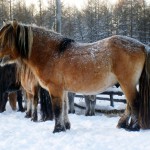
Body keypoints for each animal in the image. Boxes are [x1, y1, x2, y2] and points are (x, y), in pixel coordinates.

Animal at [0, 19, 150, 132]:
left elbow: (58, 109)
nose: (0, 59)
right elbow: (65, 107)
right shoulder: (63, 90)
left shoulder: (55, 89)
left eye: (5, 40)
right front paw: (66, 126)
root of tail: (142, 46)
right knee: (129, 104)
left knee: (134, 102)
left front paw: (57, 129)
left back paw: (133, 127)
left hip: (127, 83)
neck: (52, 54)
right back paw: (122, 124)